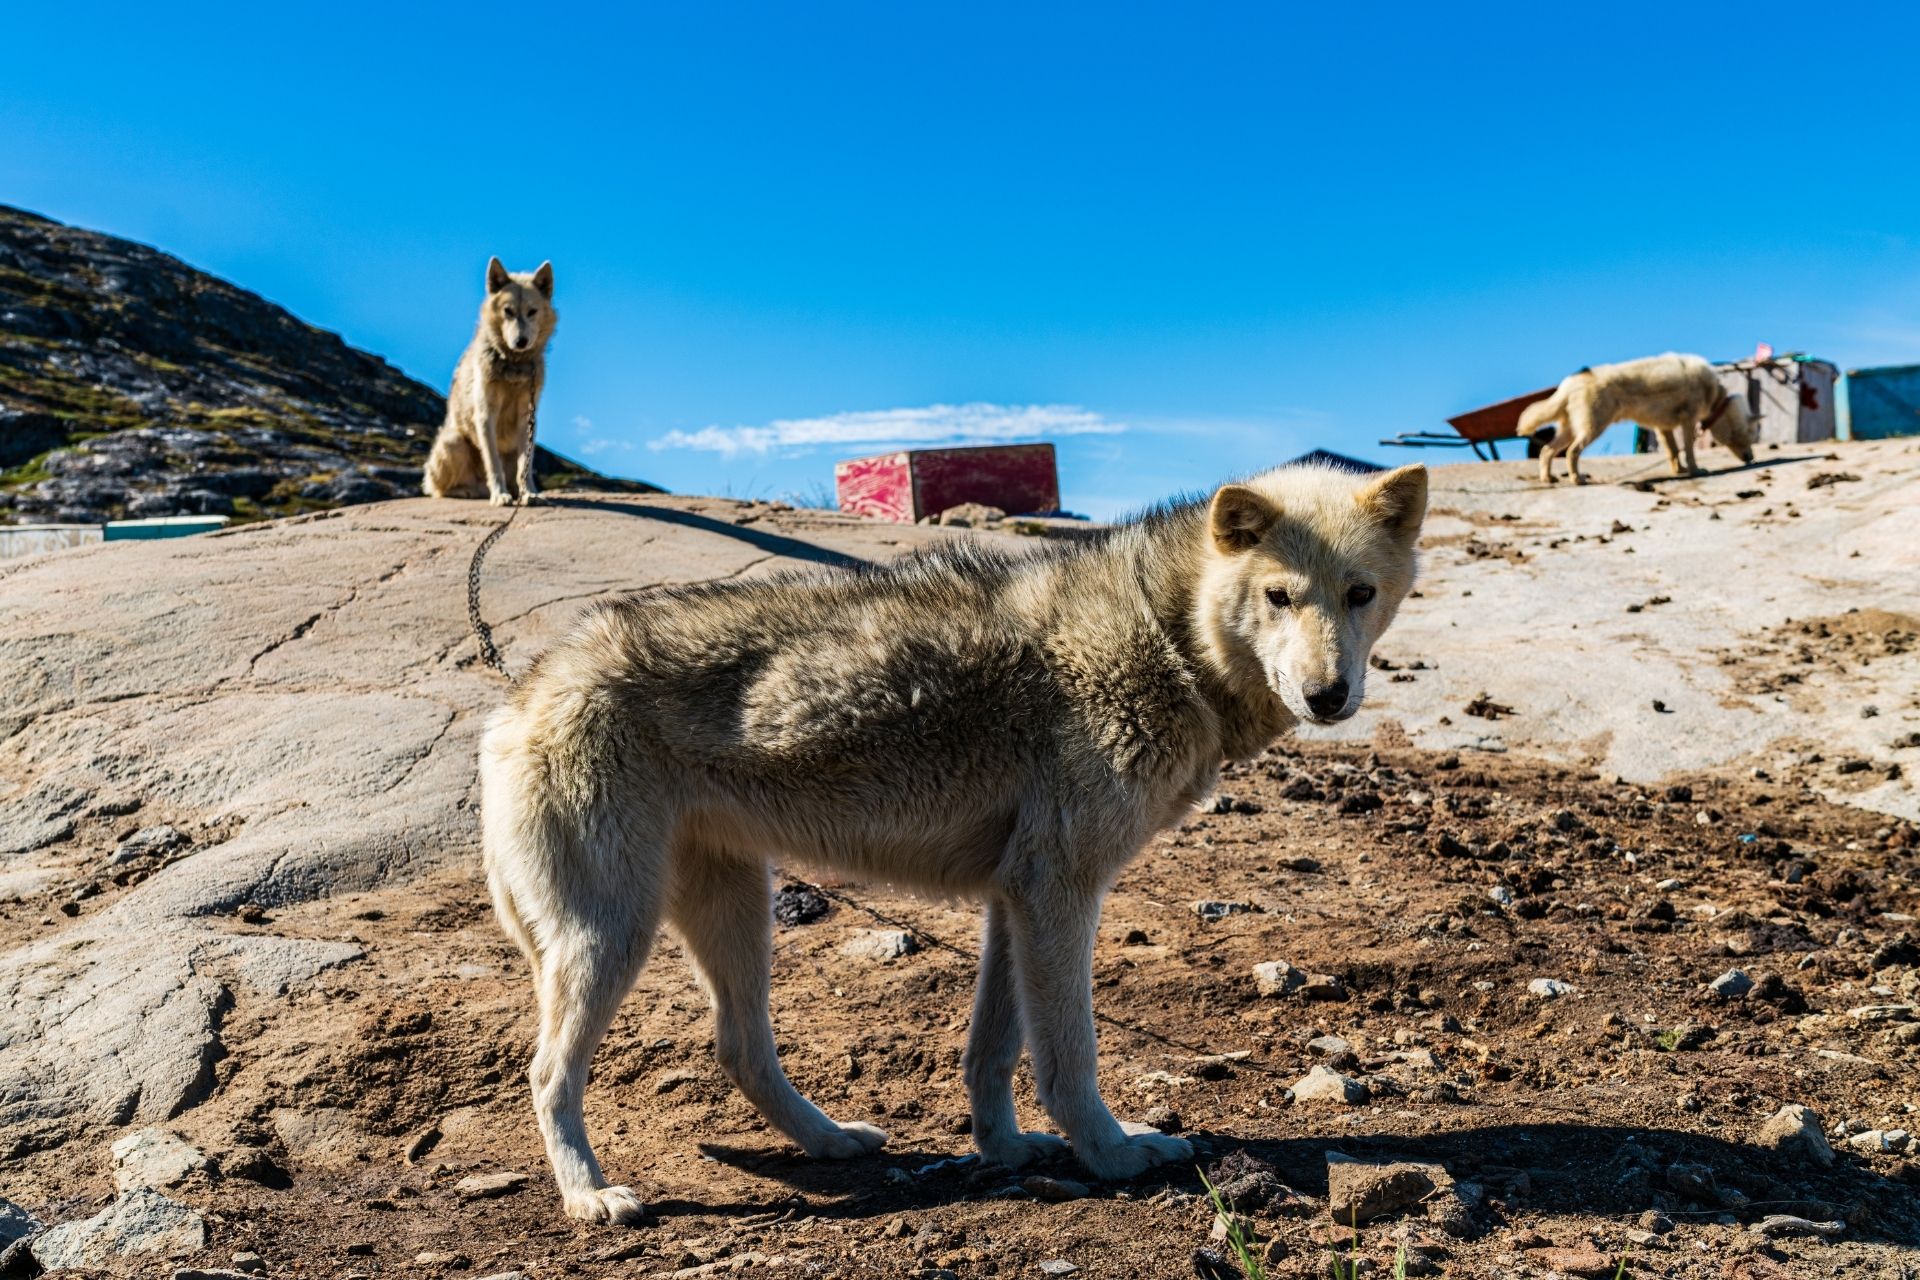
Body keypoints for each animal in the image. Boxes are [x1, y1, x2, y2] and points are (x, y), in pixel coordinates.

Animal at [426, 257, 556, 502]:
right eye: (508, 311)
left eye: (532, 311)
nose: (521, 341)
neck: (514, 363)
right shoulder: (486, 415)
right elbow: (493, 463)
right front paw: (500, 495)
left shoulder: (527, 417)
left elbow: (526, 464)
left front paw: (529, 493)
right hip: (454, 442)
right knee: (437, 490)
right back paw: (468, 491)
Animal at [480, 458, 1428, 1220]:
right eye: (1279, 597)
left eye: (1359, 595)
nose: (1329, 696)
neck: (1165, 636)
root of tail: (520, 696)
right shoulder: (1059, 894)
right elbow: (1068, 1059)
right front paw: (1114, 1155)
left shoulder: (1015, 901)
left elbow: (992, 1053)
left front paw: (1003, 1150)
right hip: (614, 936)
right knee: (547, 1075)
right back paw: (589, 1196)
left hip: (736, 914)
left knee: (741, 1051)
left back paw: (831, 1141)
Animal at [1512, 351, 1758, 485]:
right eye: (1746, 435)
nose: (1751, 458)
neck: (1715, 394)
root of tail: (1571, 382)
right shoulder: (1687, 421)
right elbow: (1688, 451)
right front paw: (1695, 470)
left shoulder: (1662, 428)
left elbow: (1673, 452)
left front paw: (1678, 471)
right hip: (1593, 427)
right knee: (1572, 452)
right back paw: (1577, 479)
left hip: (1570, 429)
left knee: (1547, 450)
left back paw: (1548, 478)